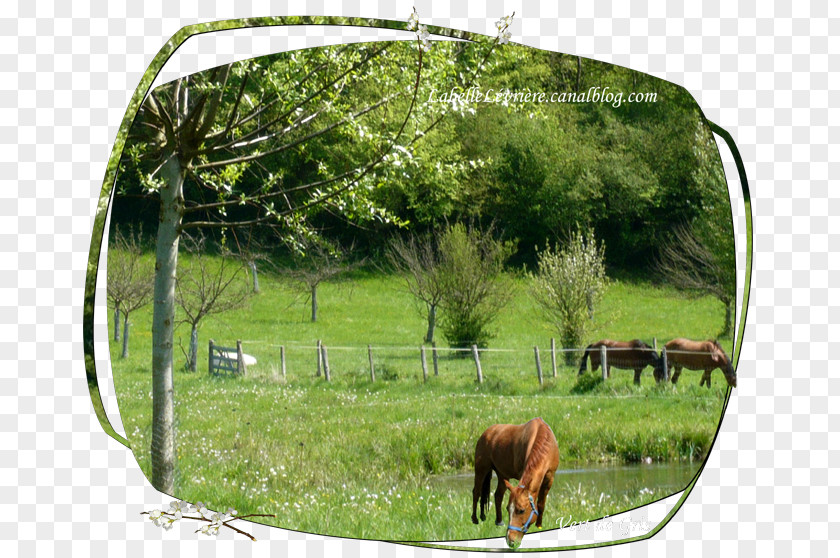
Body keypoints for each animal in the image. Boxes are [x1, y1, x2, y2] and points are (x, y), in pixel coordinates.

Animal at [472, 420, 556, 552]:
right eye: (508, 509)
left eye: (521, 511)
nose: (510, 540)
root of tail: (486, 432)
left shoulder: (549, 478)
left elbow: (541, 505)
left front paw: (539, 526)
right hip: (481, 469)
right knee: (476, 492)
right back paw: (475, 519)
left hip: (502, 474)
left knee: (498, 495)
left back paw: (499, 522)